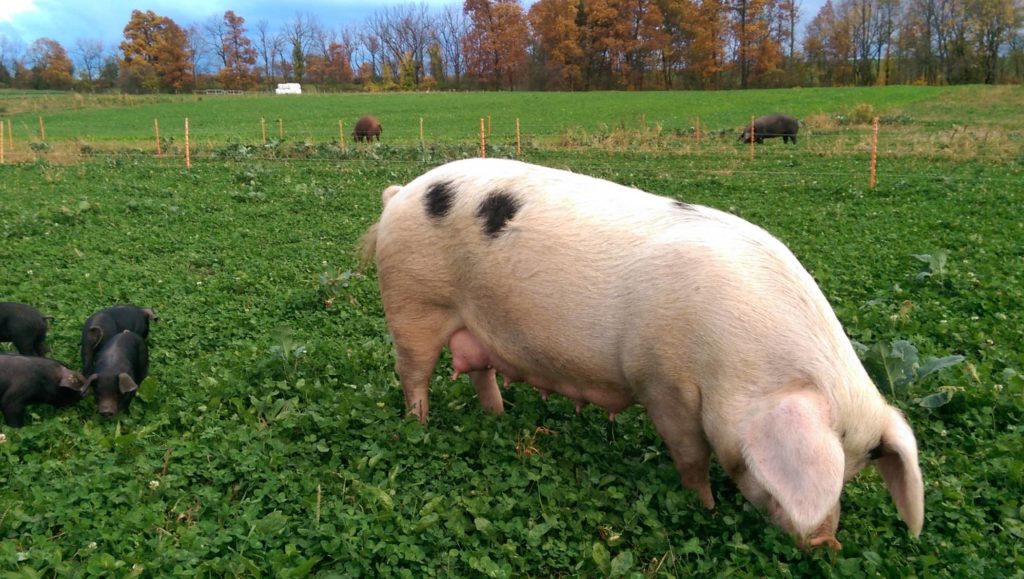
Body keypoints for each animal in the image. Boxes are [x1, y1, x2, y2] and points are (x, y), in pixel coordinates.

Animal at [362, 156, 929, 545]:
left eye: (853, 474)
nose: (826, 543)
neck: (739, 361)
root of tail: (399, 194)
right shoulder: (665, 384)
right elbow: (691, 455)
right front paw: (706, 508)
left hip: (474, 325)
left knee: (481, 371)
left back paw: (499, 418)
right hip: (412, 304)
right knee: (412, 373)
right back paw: (420, 426)